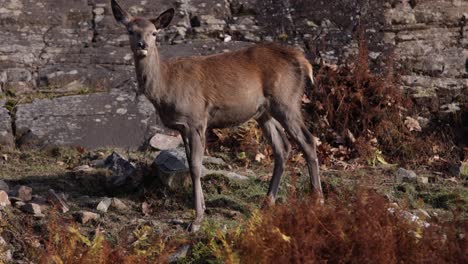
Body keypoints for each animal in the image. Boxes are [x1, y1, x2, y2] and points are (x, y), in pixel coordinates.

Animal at [110, 0, 322, 231]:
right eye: (130, 31)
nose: (142, 45)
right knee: (282, 147)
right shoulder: (182, 126)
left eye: (154, 33)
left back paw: (317, 200)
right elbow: (189, 164)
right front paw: (200, 211)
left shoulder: (196, 119)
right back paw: (267, 203)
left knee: (308, 140)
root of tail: (304, 61)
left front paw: (197, 219)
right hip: (264, 112)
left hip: (286, 101)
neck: (165, 87)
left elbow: (195, 166)